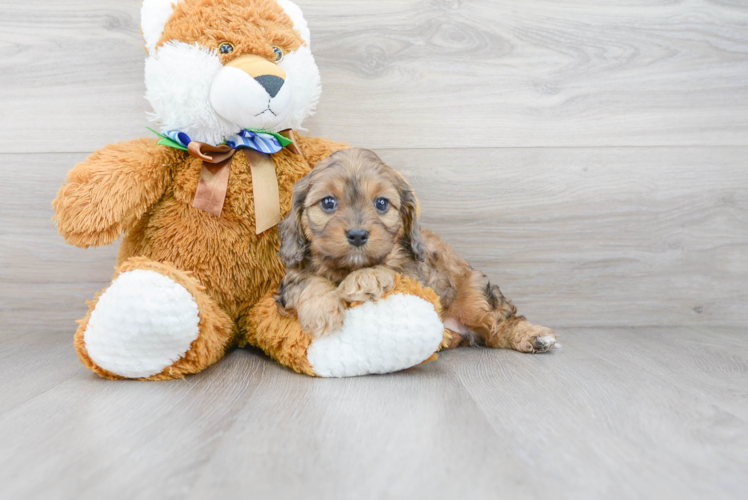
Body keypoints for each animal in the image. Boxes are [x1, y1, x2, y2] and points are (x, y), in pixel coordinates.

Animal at [274, 147, 556, 352]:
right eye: (328, 203)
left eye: (381, 203)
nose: (357, 235)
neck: (346, 267)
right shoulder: (292, 276)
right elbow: (307, 282)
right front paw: (322, 312)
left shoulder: (416, 272)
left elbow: (391, 268)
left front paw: (366, 277)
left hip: (475, 296)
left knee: (501, 323)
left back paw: (535, 336)